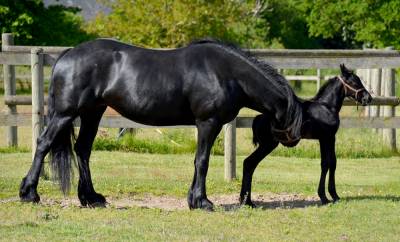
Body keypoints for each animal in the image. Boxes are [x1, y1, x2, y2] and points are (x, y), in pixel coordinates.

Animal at [239, 64, 374, 206]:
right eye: (354, 82)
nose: (368, 98)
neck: (326, 107)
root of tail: (258, 118)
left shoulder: (325, 138)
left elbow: (330, 163)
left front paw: (331, 195)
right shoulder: (328, 137)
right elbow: (328, 163)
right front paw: (327, 196)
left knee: (249, 163)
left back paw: (246, 200)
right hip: (268, 144)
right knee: (249, 163)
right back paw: (247, 201)